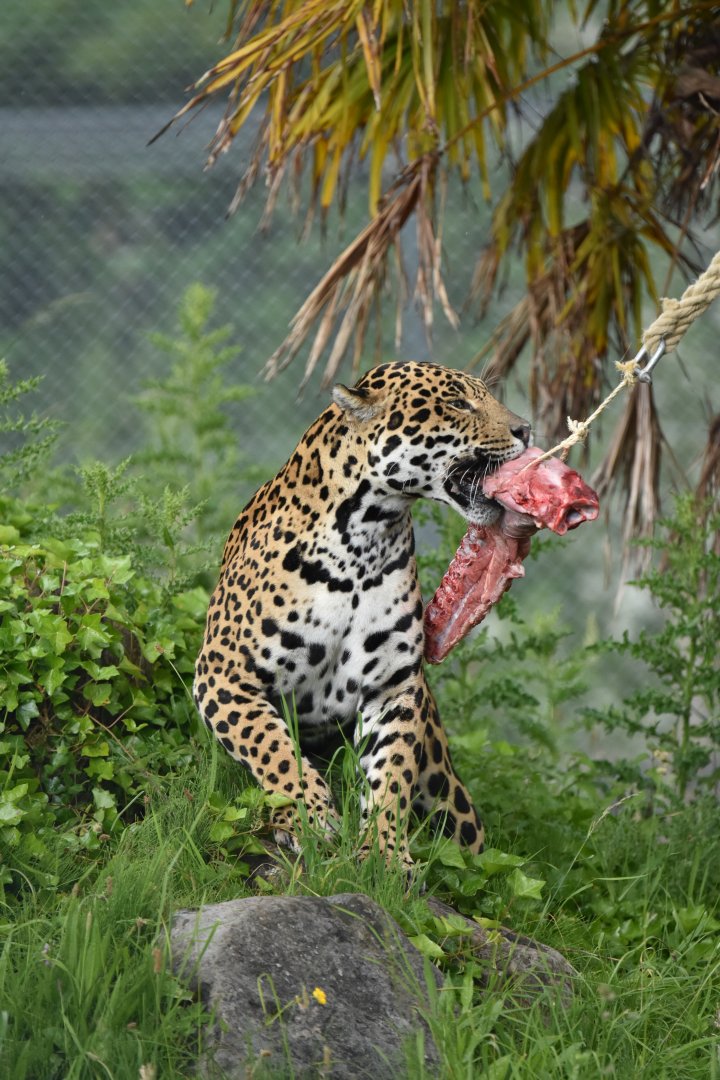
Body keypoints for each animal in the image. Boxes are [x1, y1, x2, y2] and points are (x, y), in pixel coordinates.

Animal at [194, 360, 531, 867]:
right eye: (457, 402)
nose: (526, 430)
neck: (364, 536)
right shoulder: (224, 674)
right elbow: (273, 747)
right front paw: (311, 818)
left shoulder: (393, 685)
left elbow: (393, 774)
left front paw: (385, 854)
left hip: (451, 798)